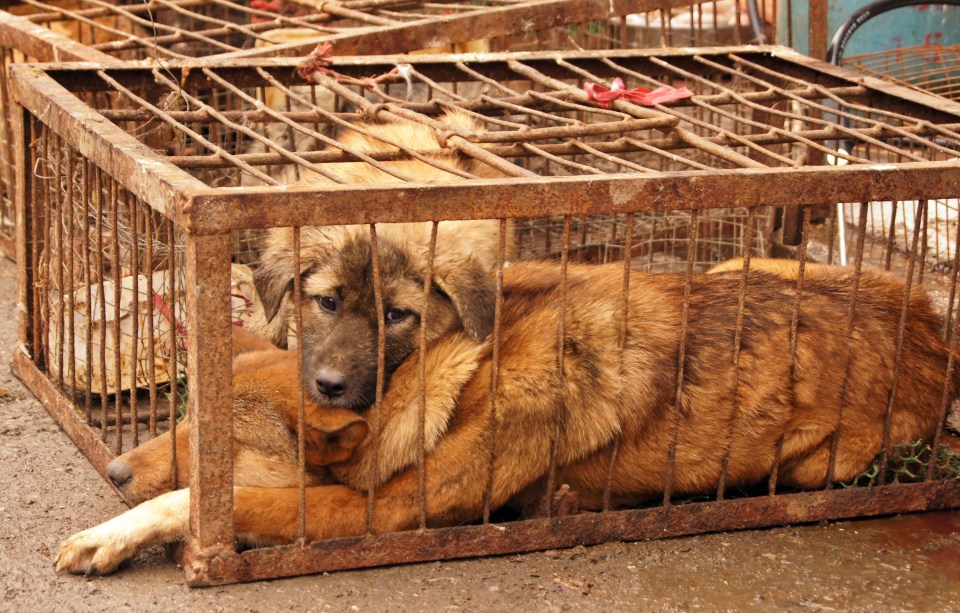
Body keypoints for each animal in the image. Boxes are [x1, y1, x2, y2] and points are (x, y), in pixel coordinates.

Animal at [54, 262, 952, 572]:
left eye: (217, 439)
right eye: (178, 419)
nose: (114, 468)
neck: (444, 385)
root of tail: (936, 333)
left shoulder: (377, 513)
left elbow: (211, 502)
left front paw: (112, 532)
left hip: (815, 462)